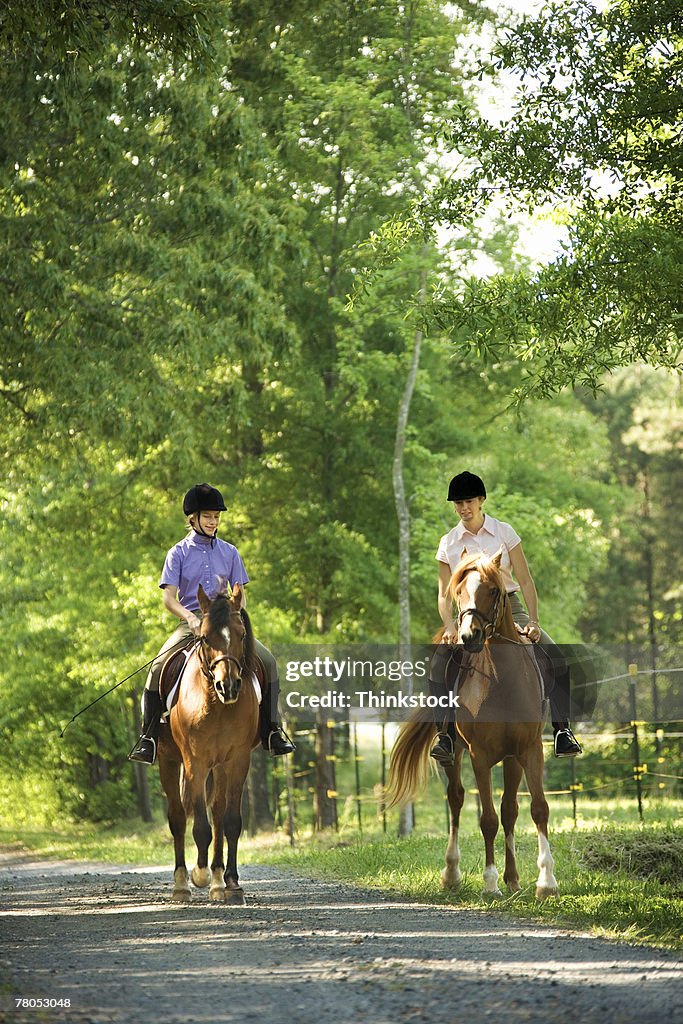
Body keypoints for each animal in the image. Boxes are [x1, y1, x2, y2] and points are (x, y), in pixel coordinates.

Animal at [157, 585, 262, 905]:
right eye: (204, 637)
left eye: (241, 634)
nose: (227, 687)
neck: (216, 705)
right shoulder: (196, 761)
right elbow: (200, 826)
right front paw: (200, 875)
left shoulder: (237, 761)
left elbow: (229, 822)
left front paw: (230, 884)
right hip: (169, 761)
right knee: (178, 817)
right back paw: (181, 884)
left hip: (219, 766)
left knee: (216, 814)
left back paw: (219, 880)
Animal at [387, 552, 557, 897]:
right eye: (458, 591)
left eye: (493, 590)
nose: (467, 637)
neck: (502, 680)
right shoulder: (479, 755)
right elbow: (487, 819)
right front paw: (490, 883)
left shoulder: (529, 749)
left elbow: (537, 808)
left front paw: (546, 882)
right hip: (455, 754)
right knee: (456, 799)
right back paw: (452, 873)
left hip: (511, 758)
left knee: (510, 810)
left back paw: (513, 879)